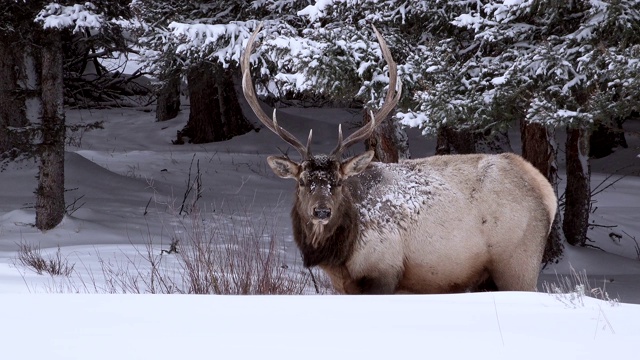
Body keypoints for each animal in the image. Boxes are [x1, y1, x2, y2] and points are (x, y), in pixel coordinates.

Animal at [240, 23, 556, 296]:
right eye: (303, 181)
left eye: (339, 182)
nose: (321, 211)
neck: (340, 256)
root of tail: (545, 190)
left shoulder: (382, 270)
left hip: (518, 263)